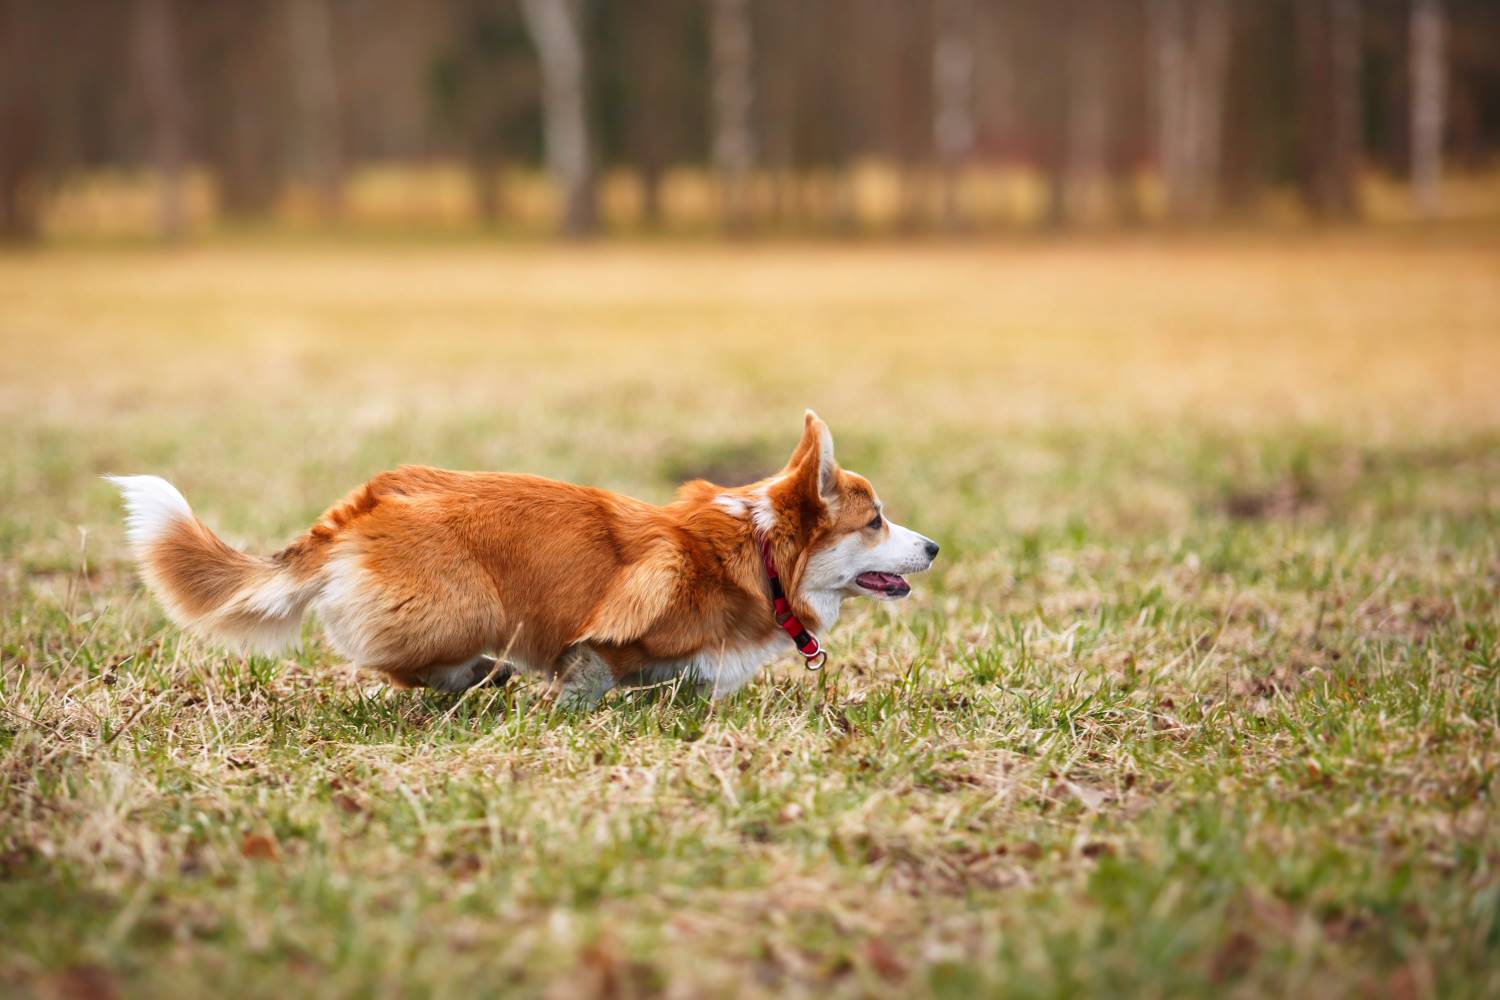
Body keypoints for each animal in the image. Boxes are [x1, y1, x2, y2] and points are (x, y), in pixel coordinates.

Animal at [111, 410, 936, 707]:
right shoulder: (606, 639)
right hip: (466, 606)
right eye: (876, 520)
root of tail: (363, 506)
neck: (759, 555)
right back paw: (479, 678)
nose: (934, 545)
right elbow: (593, 673)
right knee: (393, 661)